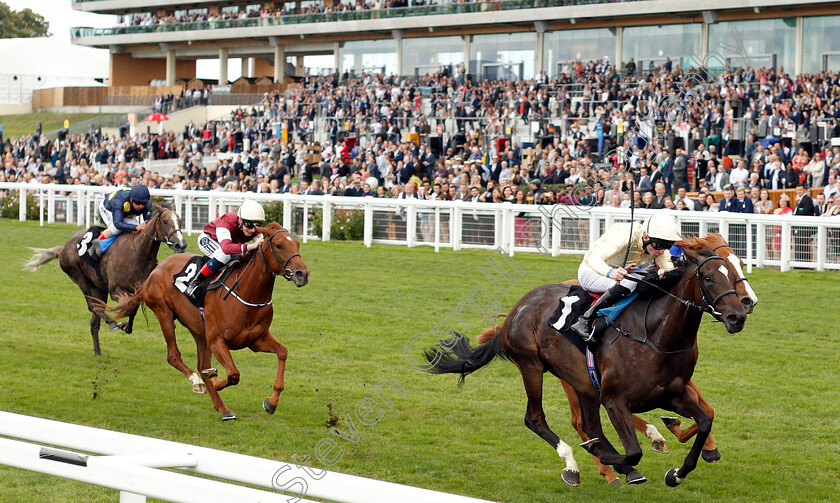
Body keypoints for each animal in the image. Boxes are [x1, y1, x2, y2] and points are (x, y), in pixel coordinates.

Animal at [24, 203, 185, 356]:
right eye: (165, 221)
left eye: (180, 221)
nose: (181, 245)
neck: (139, 253)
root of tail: (63, 249)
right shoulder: (115, 290)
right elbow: (128, 305)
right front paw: (123, 324)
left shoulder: (140, 290)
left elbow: (133, 307)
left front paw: (128, 327)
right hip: (79, 277)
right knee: (93, 306)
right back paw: (112, 324)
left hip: (98, 288)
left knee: (94, 320)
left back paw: (98, 351)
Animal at [98, 224, 308, 422]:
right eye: (279, 245)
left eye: (297, 245)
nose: (302, 274)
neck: (246, 292)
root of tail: (154, 272)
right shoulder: (217, 340)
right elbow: (233, 374)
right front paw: (214, 380)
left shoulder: (256, 339)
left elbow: (282, 352)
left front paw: (271, 402)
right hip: (164, 313)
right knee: (174, 356)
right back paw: (198, 382)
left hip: (198, 330)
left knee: (201, 364)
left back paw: (223, 408)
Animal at [426, 247, 748, 488]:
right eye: (708, 277)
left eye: (735, 276)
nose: (737, 316)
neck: (656, 336)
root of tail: (517, 309)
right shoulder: (615, 399)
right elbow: (633, 452)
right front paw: (607, 454)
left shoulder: (673, 394)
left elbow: (704, 421)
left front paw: (677, 473)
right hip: (532, 366)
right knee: (536, 419)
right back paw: (574, 464)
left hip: (581, 381)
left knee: (589, 424)